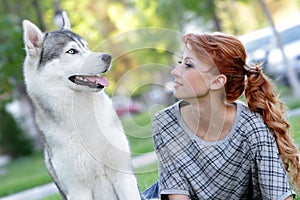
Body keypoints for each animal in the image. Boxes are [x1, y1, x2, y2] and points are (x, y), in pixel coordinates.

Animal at [22, 12, 142, 200]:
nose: (108, 57)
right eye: (72, 51)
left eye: (85, 46)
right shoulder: (78, 189)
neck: (81, 113)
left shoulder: (123, 176)